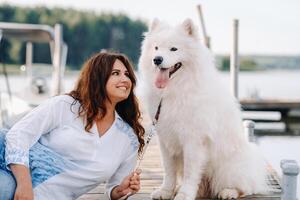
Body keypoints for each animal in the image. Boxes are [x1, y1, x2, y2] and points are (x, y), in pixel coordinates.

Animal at [137, 18, 268, 199]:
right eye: (156, 48)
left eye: (173, 49)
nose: (157, 59)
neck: (176, 89)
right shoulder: (165, 137)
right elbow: (168, 170)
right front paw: (166, 191)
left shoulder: (193, 140)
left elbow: (190, 173)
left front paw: (184, 195)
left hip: (229, 166)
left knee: (245, 187)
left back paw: (228, 191)